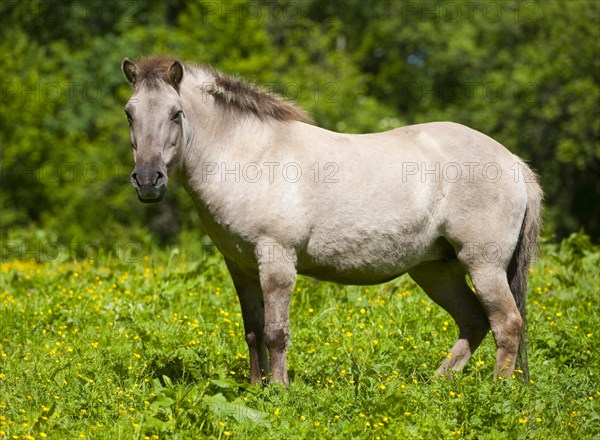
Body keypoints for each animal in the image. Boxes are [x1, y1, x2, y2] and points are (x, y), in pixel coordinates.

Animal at [119, 54, 540, 384]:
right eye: (129, 113)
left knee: (507, 324)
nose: (148, 180)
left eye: (176, 114)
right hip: (437, 269)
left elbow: (276, 332)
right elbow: (252, 331)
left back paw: (496, 392)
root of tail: (514, 163)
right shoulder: (240, 267)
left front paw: (279, 391)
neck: (249, 156)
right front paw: (255, 389)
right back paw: (438, 385)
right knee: (474, 321)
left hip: (483, 264)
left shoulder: (276, 261)